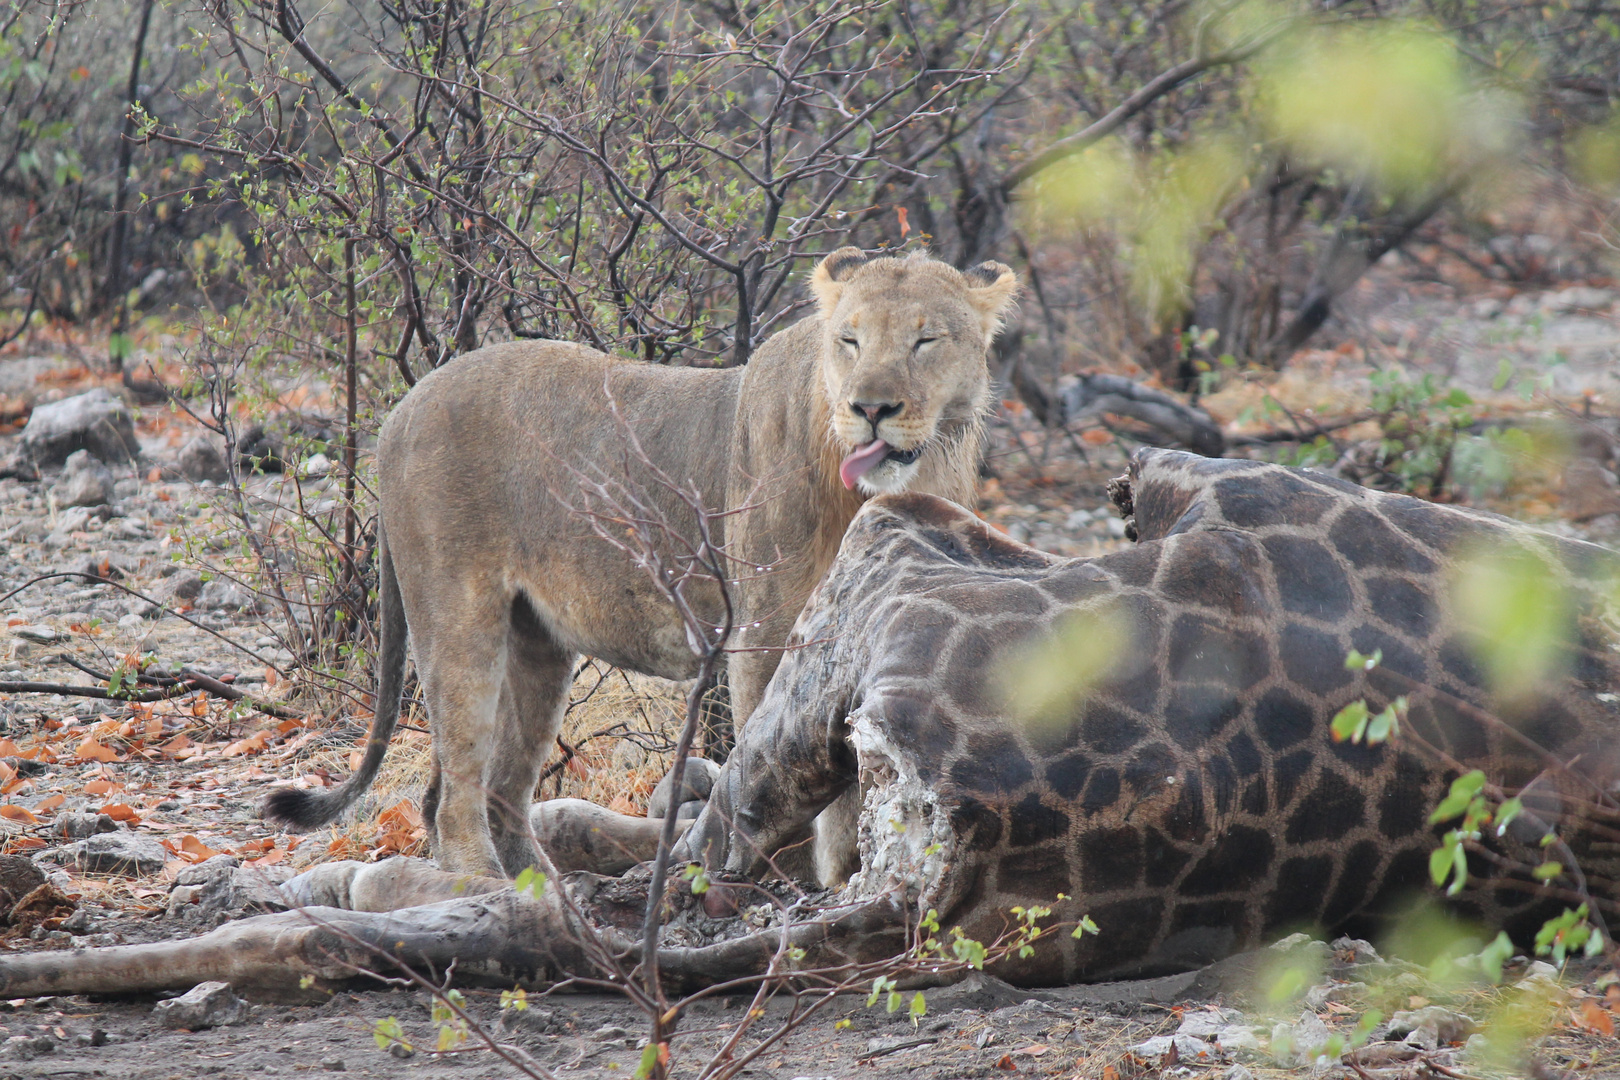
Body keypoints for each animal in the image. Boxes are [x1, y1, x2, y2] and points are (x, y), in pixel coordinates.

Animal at [265, 247, 1017, 880]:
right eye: (850, 340)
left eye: (926, 340)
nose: (871, 408)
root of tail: (402, 405)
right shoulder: (765, 630)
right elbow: (775, 759)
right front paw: (790, 877)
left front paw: (843, 872)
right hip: (457, 618)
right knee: (456, 789)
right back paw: (490, 889)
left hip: (538, 649)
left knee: (493, 788)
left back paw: (549, 893)